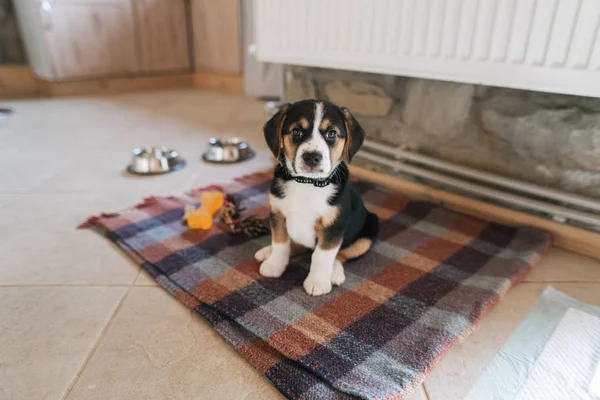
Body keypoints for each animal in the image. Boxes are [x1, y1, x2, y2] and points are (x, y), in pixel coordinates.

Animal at [254, 98, 378, 296]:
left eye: (332, 133)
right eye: (296, 131)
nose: (312, 157)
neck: (307, 183)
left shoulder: (333, 226)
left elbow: (322, 256)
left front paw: (318, 282)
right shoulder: (277, 214)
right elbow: (280, 242)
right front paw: (274, 265)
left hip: (369, 230)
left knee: (341, 255)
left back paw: (335, 273)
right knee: (295, 245)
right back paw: (267, 252)